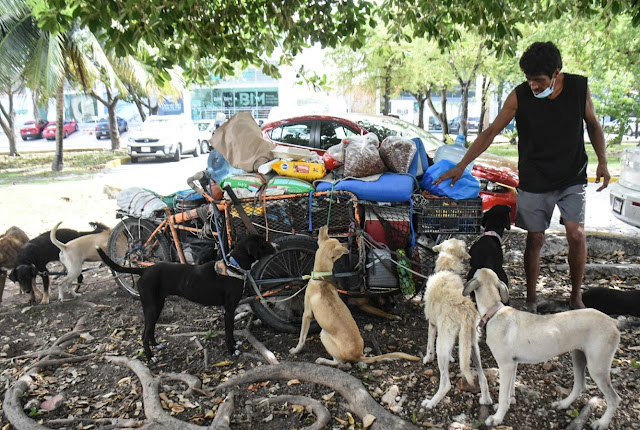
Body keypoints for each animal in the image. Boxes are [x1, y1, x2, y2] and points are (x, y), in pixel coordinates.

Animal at [96, 233, 276, 362]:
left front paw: (235, 344)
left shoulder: (230, 310)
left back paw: (156, 345)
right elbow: (228, 332)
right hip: (151, 306)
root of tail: (144, 270)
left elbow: (230, 332)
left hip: (157, 305)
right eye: (262, 243)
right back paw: (150, 357)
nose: (276, 245)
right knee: (144, 335)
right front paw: (231, 350)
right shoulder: (229, 309)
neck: (234, 266)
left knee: (151, 329)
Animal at [288, 225, 420, 366]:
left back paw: (323, 360)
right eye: (338, 242)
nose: (347, 244)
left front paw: (296, 350)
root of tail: (358, 355)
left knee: (339, 363)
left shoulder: (307, 314)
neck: (321, 277)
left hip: (324, 334)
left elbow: (302, 337)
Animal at [422, 239, 492, 410]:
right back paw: (486, 400)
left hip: (441, 344)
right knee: (483, 377)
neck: (448, 270)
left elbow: (428, 344)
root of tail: (466, 311)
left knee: (445, 384)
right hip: (472, 346)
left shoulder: (432, 324)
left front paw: (427, 358)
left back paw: (430, 403)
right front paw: (452, 357)